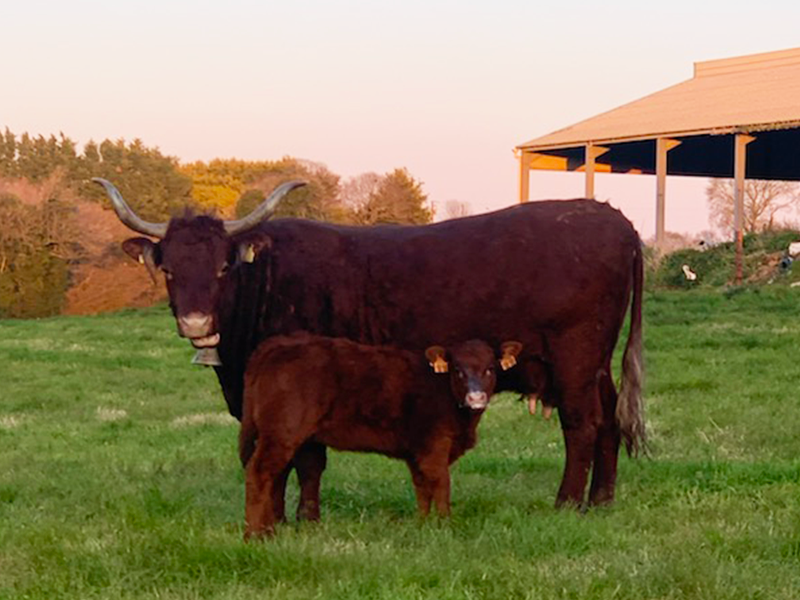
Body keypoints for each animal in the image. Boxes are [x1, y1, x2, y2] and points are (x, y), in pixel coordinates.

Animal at [94, 178, 644, 510]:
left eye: (223, 266)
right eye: (168, 269)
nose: (195, 320)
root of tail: (612, 217)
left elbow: (308, 458)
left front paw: (303, 519)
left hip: (575, 360)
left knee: (582, 426)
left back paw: (566, 504)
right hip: (594, 365)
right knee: (610, 420)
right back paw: (602, 501)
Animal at [241, 332, 520, 540]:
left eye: (490, 369)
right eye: (458, 370)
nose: (476, 397)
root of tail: (276, 345)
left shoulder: (416, 450)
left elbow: (422, 487)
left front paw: (423, 524)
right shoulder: (434, 444)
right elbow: (441, 484)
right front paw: (445, 526)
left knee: (274, 475)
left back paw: (268, 531)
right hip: (282, 433)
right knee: (260, 472)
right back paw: (255, 535)